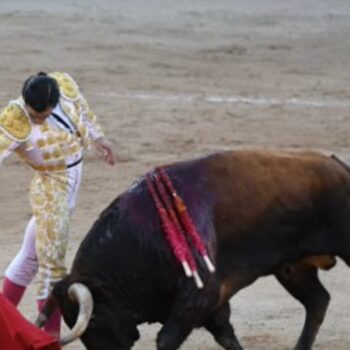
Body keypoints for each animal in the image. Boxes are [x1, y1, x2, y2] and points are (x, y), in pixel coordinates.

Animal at [43, 150, 350, 350]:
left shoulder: (197, 297)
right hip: (293, 269)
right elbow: (227, 335)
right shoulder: (212, 303)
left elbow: (166, 339)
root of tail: (339, 165)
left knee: (318, 301)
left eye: (94, 319)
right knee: (318, 301)